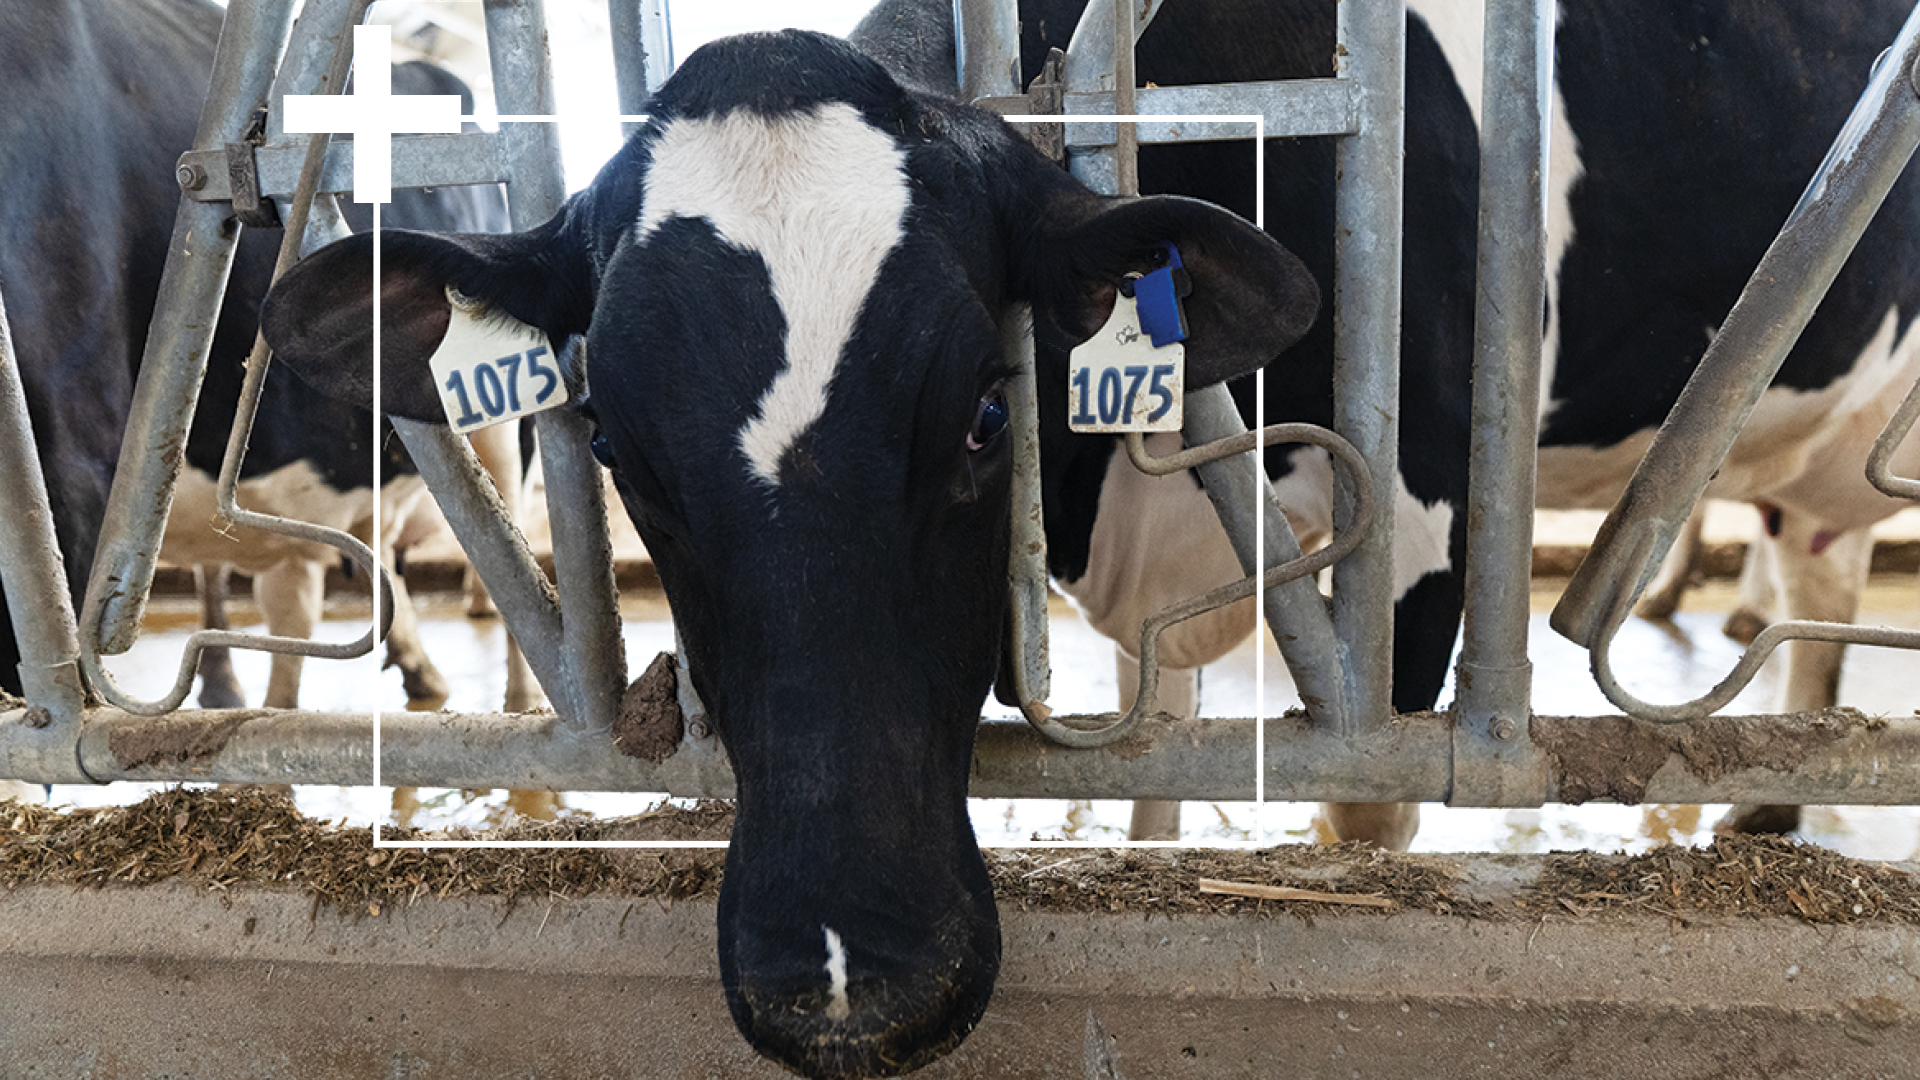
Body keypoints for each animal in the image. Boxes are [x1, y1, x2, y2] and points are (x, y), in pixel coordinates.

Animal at [263, 2, 1920, 1076]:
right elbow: (1157, 759)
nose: (850, 989)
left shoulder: (1411, 570)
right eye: (613, 444)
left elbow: (1352, 818)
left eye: (984, 416)